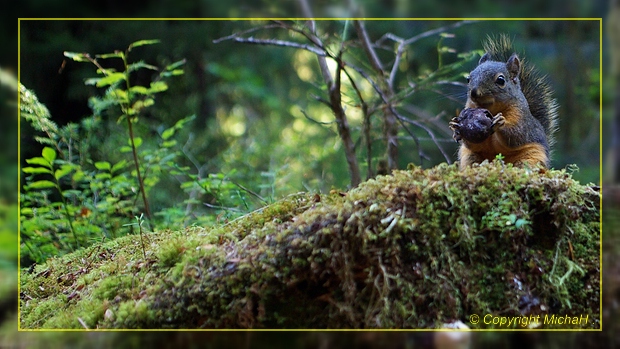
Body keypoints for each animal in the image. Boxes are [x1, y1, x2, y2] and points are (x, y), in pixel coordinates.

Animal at [448, 35, 560, 170]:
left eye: (501, 80)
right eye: (468, 79)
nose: (474, 92)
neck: (493, 109)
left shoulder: (522, 118)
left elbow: (517, 134)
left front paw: (500, 122)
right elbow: (473, 143)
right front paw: (455, 127)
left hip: (532, 155)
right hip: (470, 156)